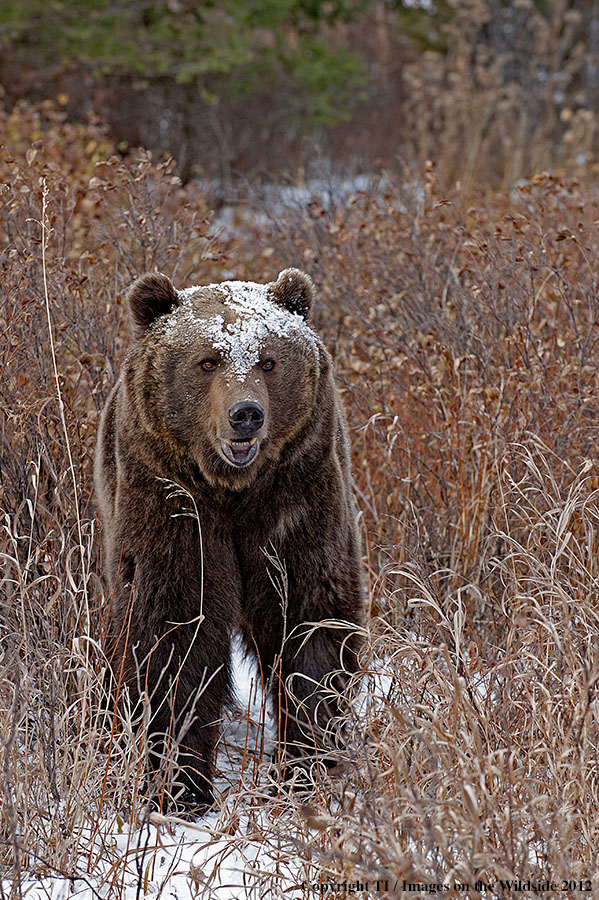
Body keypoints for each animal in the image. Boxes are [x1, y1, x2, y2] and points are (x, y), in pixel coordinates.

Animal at [96, 266, 364, 808]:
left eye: (268, 360)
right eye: (207, 360)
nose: (246, 413)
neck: (234, 489)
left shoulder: (297, 495)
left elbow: (308, 618)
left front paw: (307, 761)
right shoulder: (171, 500)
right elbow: (175, 627)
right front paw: (178, 783)